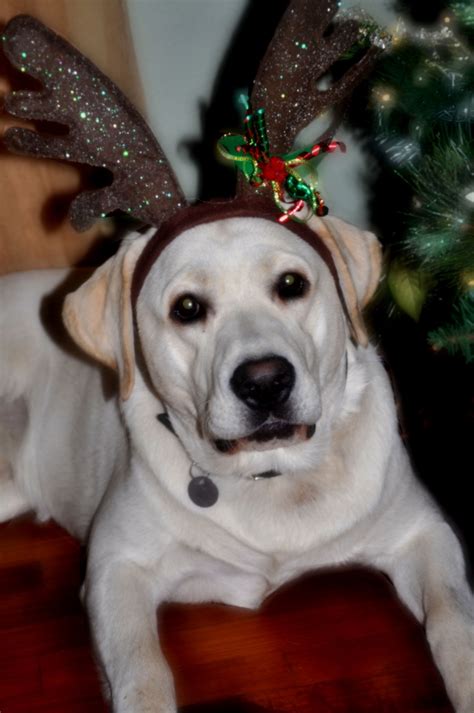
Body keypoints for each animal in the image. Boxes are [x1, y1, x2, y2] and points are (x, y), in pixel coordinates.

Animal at [0, 213, 472, 712]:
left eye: (291, 284)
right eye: (187, 307)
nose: (265, 383)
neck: (272, 475)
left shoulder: (424, 533)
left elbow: (452, 617)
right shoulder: (118, 567)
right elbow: (142, 669)